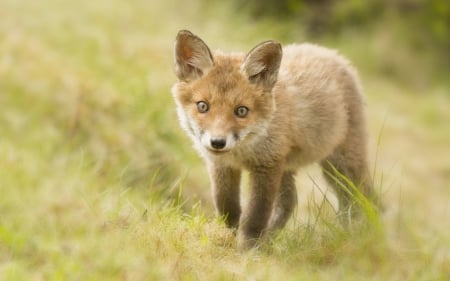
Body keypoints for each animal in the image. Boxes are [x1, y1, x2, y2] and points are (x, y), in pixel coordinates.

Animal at [171, 30, 380, 249]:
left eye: (242, 111)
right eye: (203, 106)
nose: (218, 142)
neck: (243, 151)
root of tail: (331, 53)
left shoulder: (266, 165)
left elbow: (255, 214)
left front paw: (249, 248)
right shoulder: (222, 166)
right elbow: (227, 205)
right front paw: (230, 234)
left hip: (342, 165)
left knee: (362, 197)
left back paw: (359, 234)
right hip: (290, 167)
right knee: (291, 200)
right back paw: (272, 236)